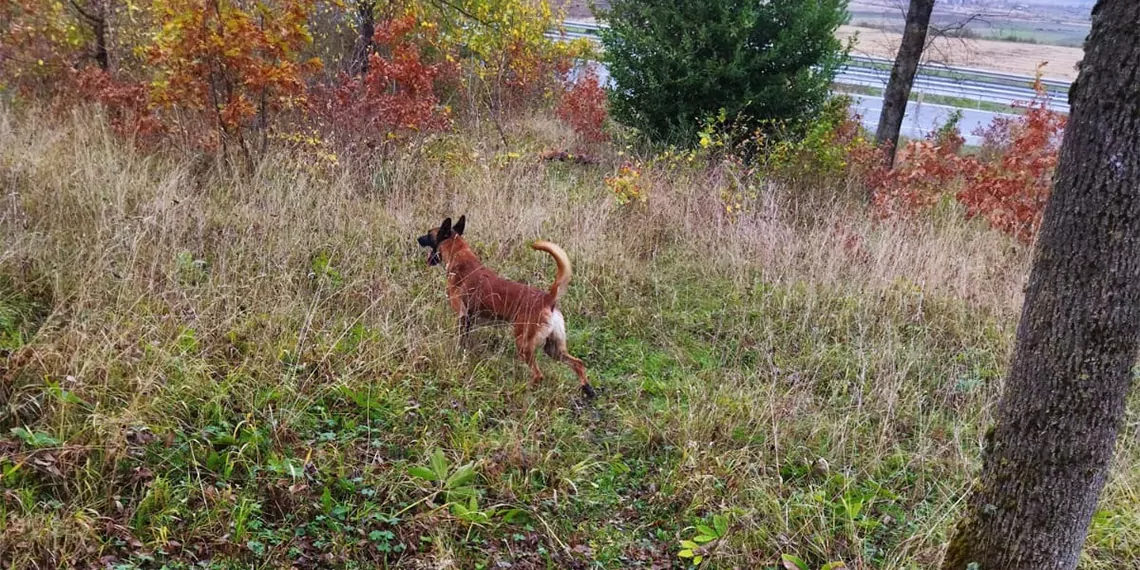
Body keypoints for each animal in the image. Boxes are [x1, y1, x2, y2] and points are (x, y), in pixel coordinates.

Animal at [419, 215, 597, 399]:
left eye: (428, 234)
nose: (418, 238)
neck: (459, 255)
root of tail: (548, 298)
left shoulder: (462, 316)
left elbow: (460, 340)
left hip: (523, 344)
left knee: (538, 374)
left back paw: (519, 390)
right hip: (554, 348)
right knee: (578, 363)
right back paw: (587, 389)